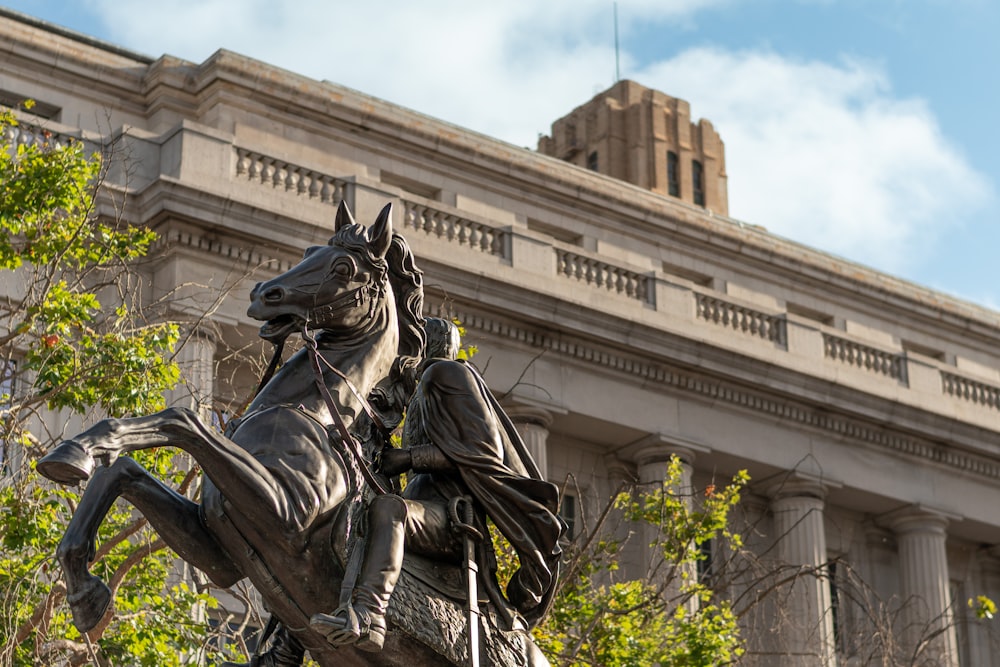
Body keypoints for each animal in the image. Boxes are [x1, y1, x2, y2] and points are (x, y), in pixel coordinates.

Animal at [37, 204, 448, 667]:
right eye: (309, 251)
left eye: (344, 267)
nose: (263, 294)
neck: (314, 412)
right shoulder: (220, 551)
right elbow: (122, 469)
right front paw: (84, 590)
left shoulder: (289, 513)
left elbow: (183, 419)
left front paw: (79, 452)